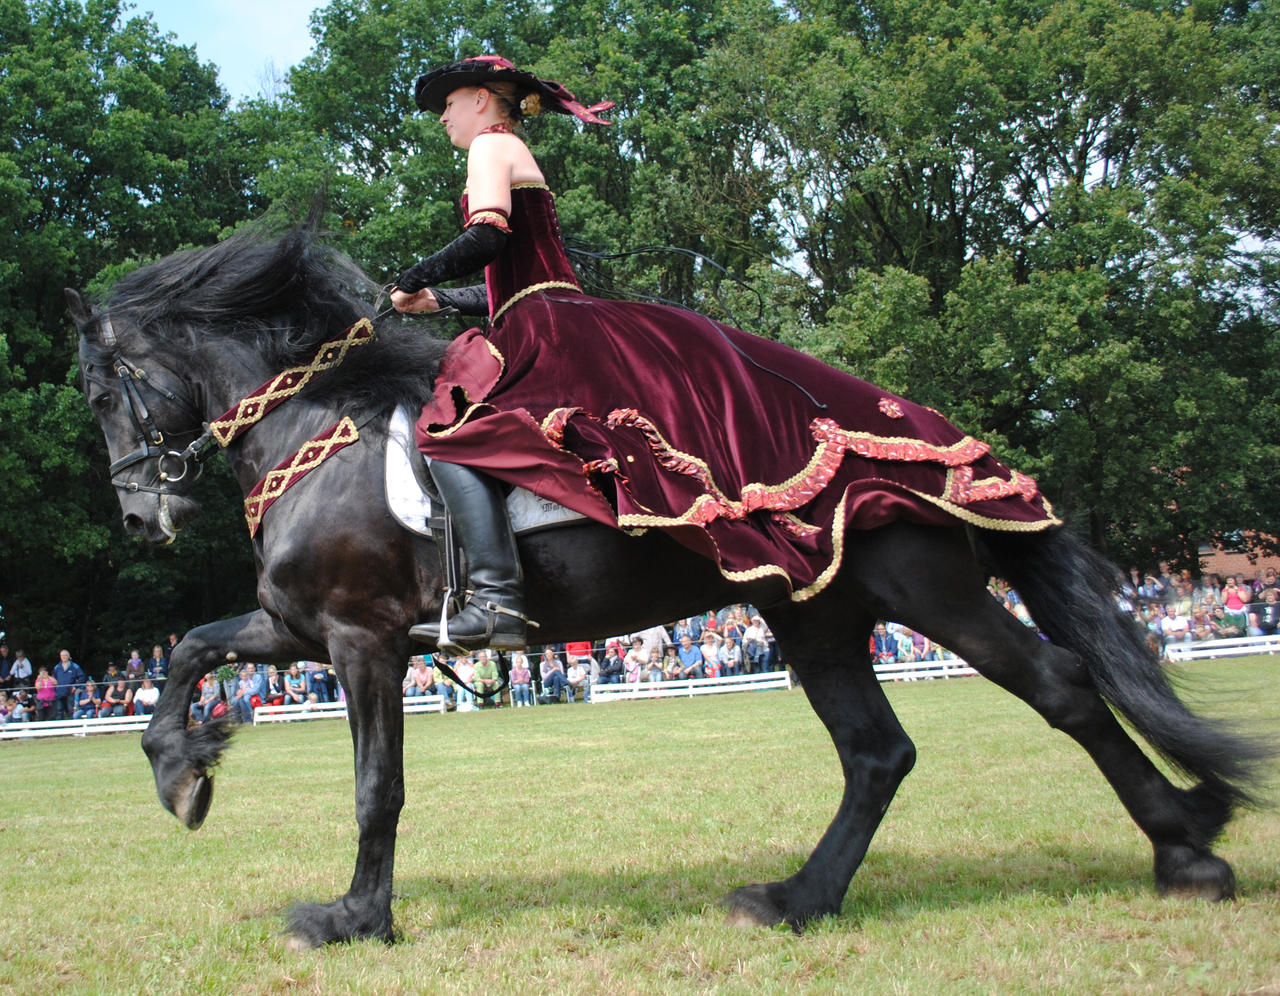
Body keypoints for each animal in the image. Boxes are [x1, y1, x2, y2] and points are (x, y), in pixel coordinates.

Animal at [70, 221, 1269, 942]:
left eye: (98, 392)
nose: (139, 514)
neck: (321, 423)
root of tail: (938, 438)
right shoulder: (299, 628)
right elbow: (189, 652)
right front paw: (183, 774)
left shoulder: (360, 640)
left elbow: (376, 786)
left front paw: (355, 917)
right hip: (814, 612)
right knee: (876, 753)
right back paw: (796, 898)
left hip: (926, 593)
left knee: (1061, 688)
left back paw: (1184, 852)